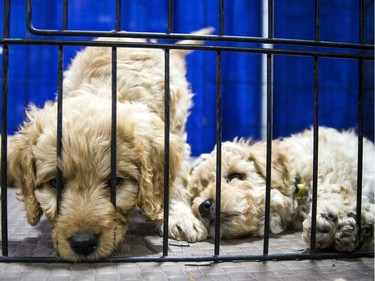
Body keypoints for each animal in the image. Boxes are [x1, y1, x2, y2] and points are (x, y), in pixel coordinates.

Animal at [8, 27, 213, 260]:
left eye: (116, 182)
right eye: (55, 183)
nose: (83, 243)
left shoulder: (169, 133)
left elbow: (174, 181)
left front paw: (179, 216)